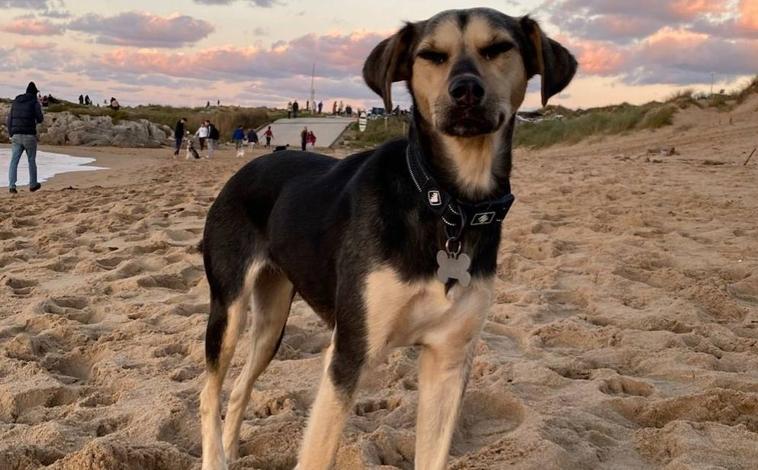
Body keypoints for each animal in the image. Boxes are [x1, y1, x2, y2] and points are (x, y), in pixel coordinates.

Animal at [199, 8, 580, 470]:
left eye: (498, 48)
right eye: (431, 55)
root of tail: (245, 169)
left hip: (272, 322)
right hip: (230, 309)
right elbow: (317, 453)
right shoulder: (349, 352)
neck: (447, 202)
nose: (466, 91)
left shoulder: (448, 361)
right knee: (208, 393)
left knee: (239, 388)